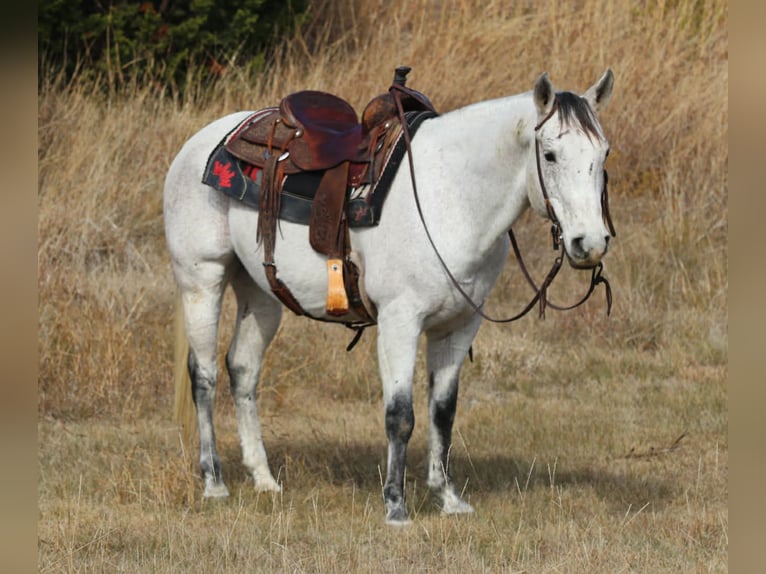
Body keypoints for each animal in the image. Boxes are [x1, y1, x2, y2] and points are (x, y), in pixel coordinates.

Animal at [164, 69, 615, 525]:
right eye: (550, 155)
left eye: (603, 153)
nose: (590, 244)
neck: (450, 196)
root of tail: (200, 142)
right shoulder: (400, 320)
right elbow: (400, 415)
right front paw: (396, 505)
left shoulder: (459, 325)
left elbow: (443, 412)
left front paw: (448, 498)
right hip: (202, 279)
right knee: (204, 375)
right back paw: (214, 482)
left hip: (261, 294)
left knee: (243, 369)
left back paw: (264, 480)